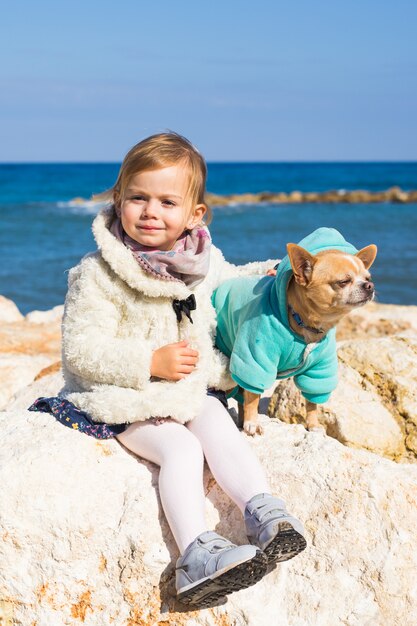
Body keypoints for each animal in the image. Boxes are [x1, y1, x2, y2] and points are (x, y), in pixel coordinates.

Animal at [213, 228, 376, 434]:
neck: (306, 323)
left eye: (368, 278)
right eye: (343, 281)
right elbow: (253, 395)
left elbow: (312, 401)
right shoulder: (255, 360)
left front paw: (313, 424)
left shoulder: (318, 369)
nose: (370, 286)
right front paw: (252, 422)